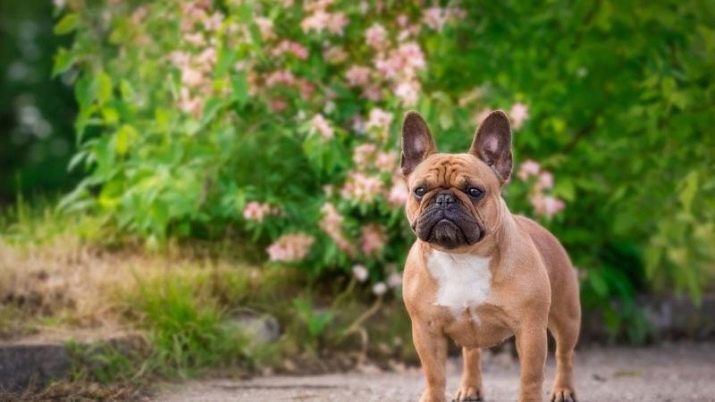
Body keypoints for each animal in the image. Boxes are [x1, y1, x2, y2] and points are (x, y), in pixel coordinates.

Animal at [402, 110, 580, 402]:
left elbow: (530, 377)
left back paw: (563, 389)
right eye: (419, 190)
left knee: (565, 354)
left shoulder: (530, 329)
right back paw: (470, 387)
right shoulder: (425, 329)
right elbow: (434, 375)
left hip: (567, 317)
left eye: (475, 191)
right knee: (471, 353)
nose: (443, 199)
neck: (461, 256)